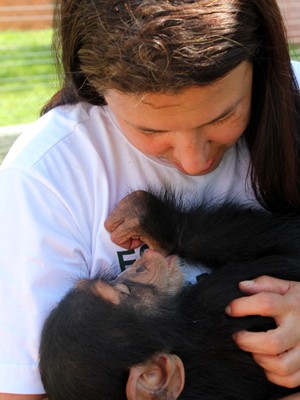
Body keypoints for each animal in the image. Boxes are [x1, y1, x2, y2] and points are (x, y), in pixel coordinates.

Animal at [39, 190, 300, 400]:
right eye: (124, 291)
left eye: (117, 285)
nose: (137, 268)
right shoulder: (218, 298)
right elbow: (289, 245)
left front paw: (147, 219)